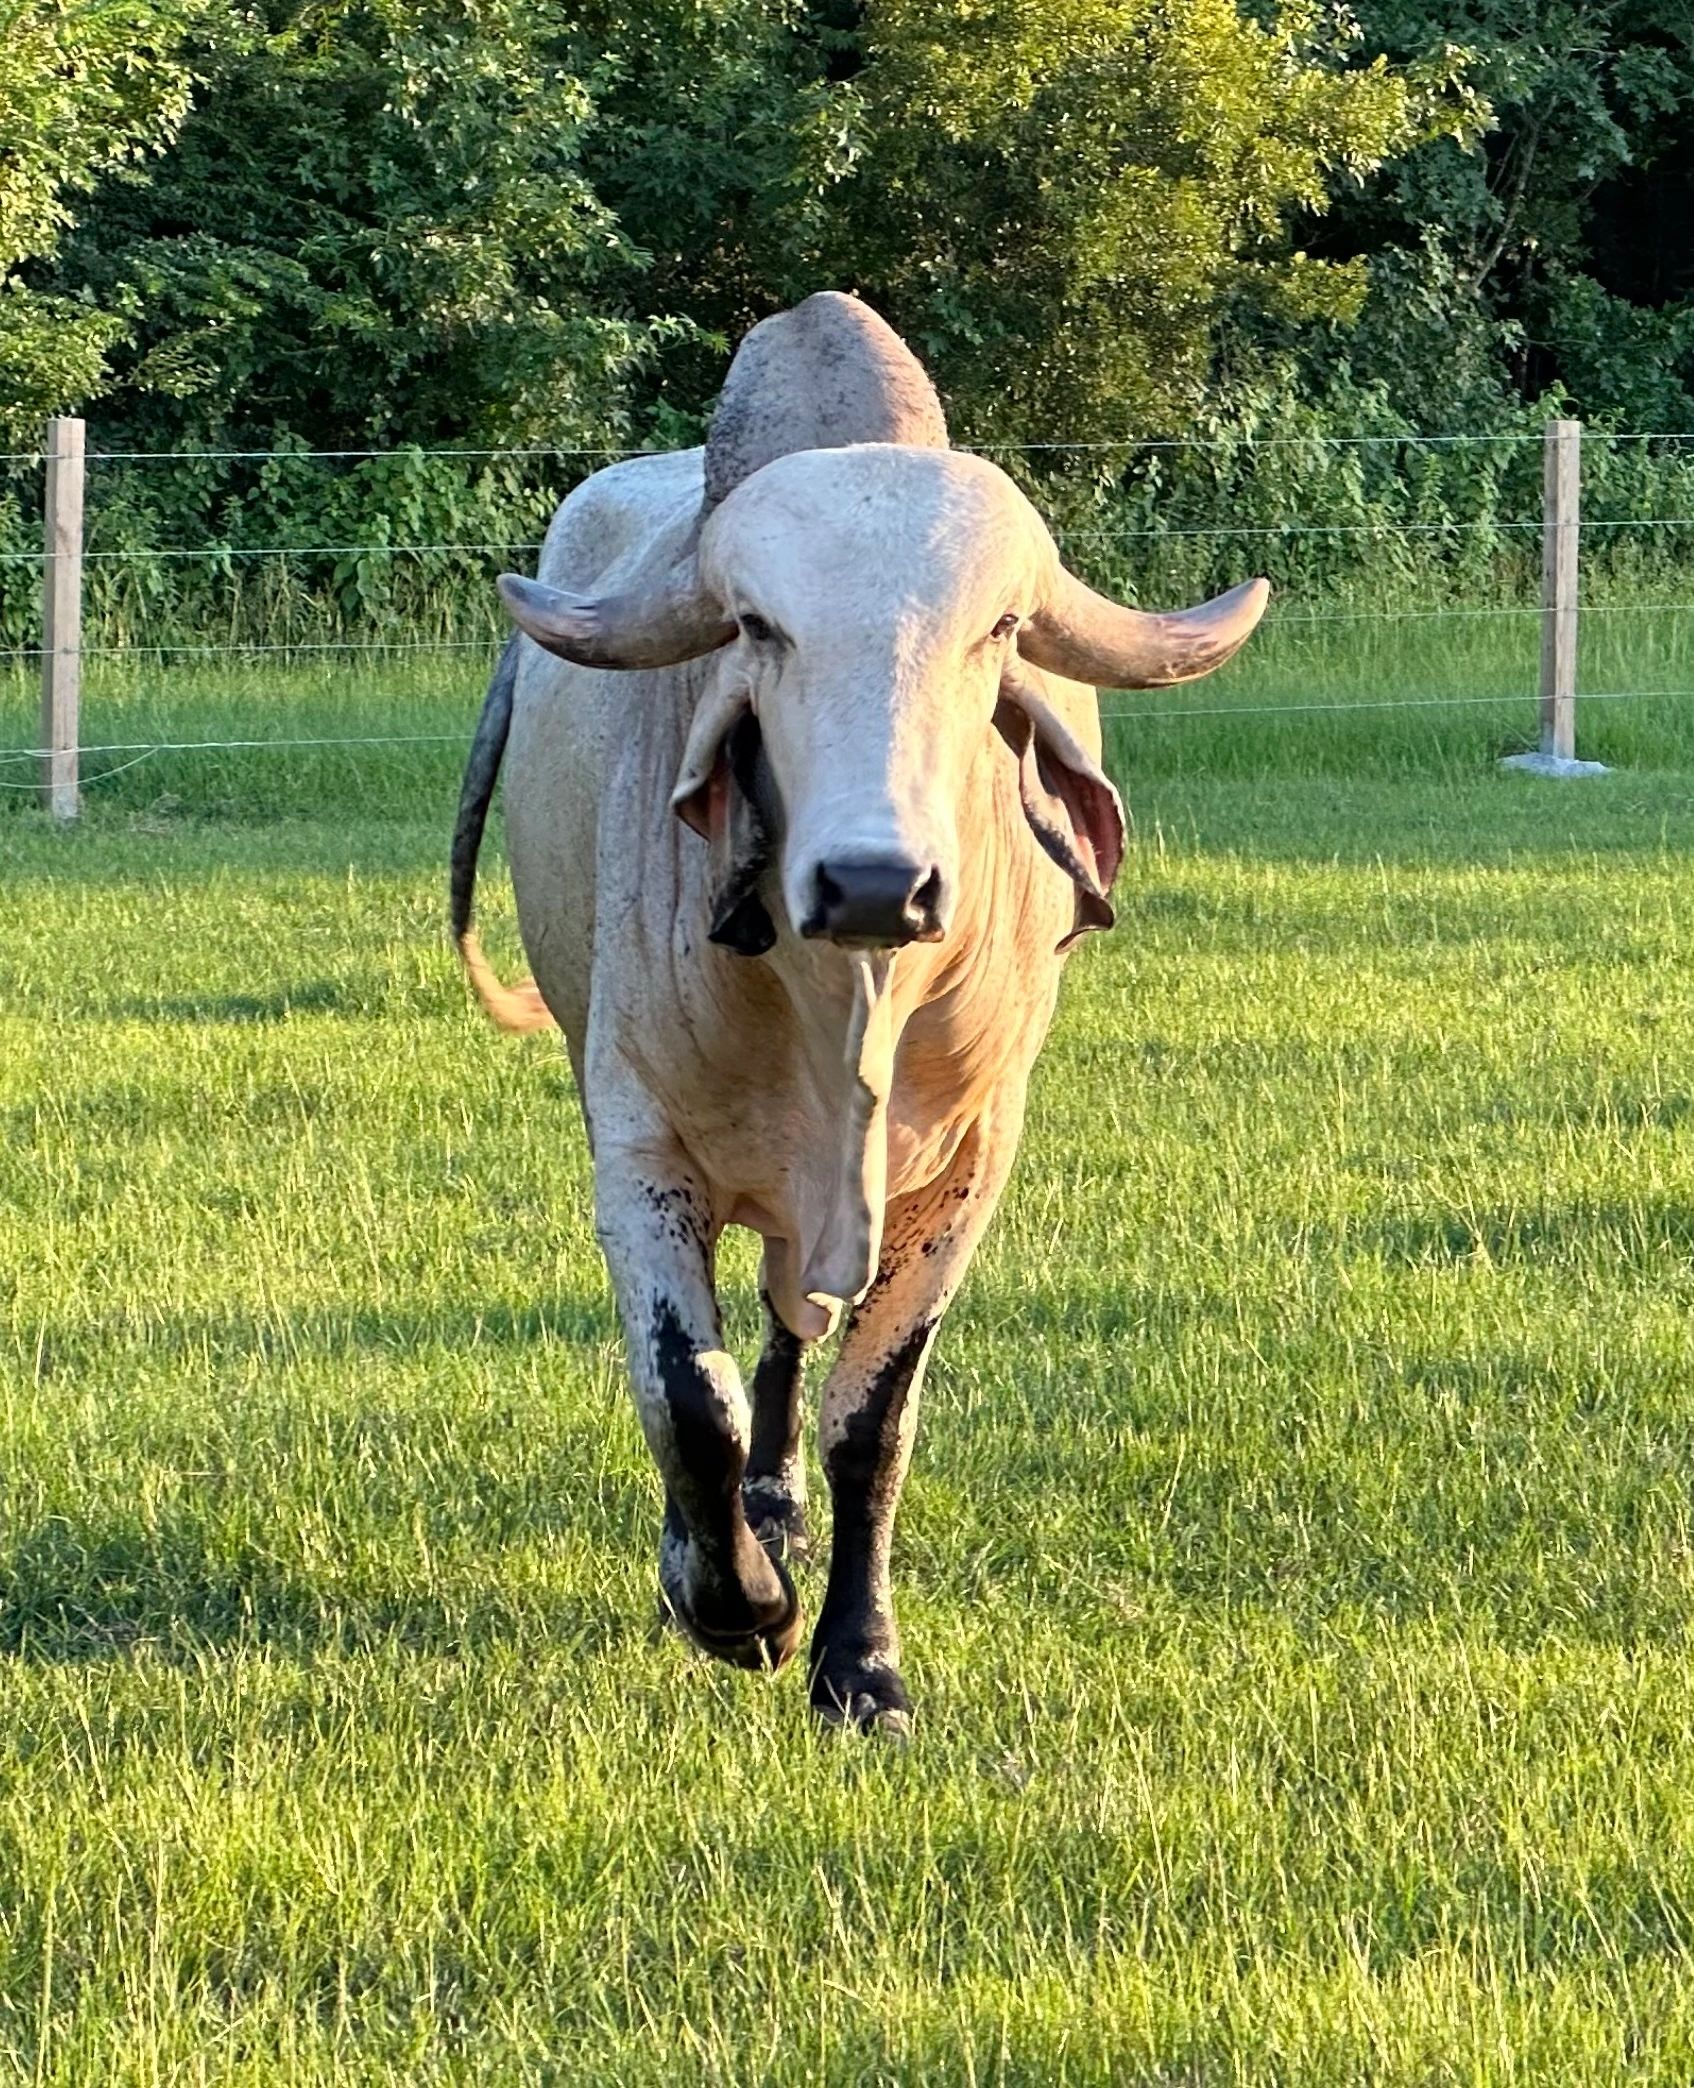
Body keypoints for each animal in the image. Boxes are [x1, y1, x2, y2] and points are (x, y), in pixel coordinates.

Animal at [451, 293, 1266, 1734]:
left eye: (995, 631)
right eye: (756, 627)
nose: (876, 880)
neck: (844, 1012)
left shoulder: (964, 1169)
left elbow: (867, 1418)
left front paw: (857, 1660)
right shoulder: (637, 1146)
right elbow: (688, 1395)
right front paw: (732, 1605)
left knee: (791, 1336)